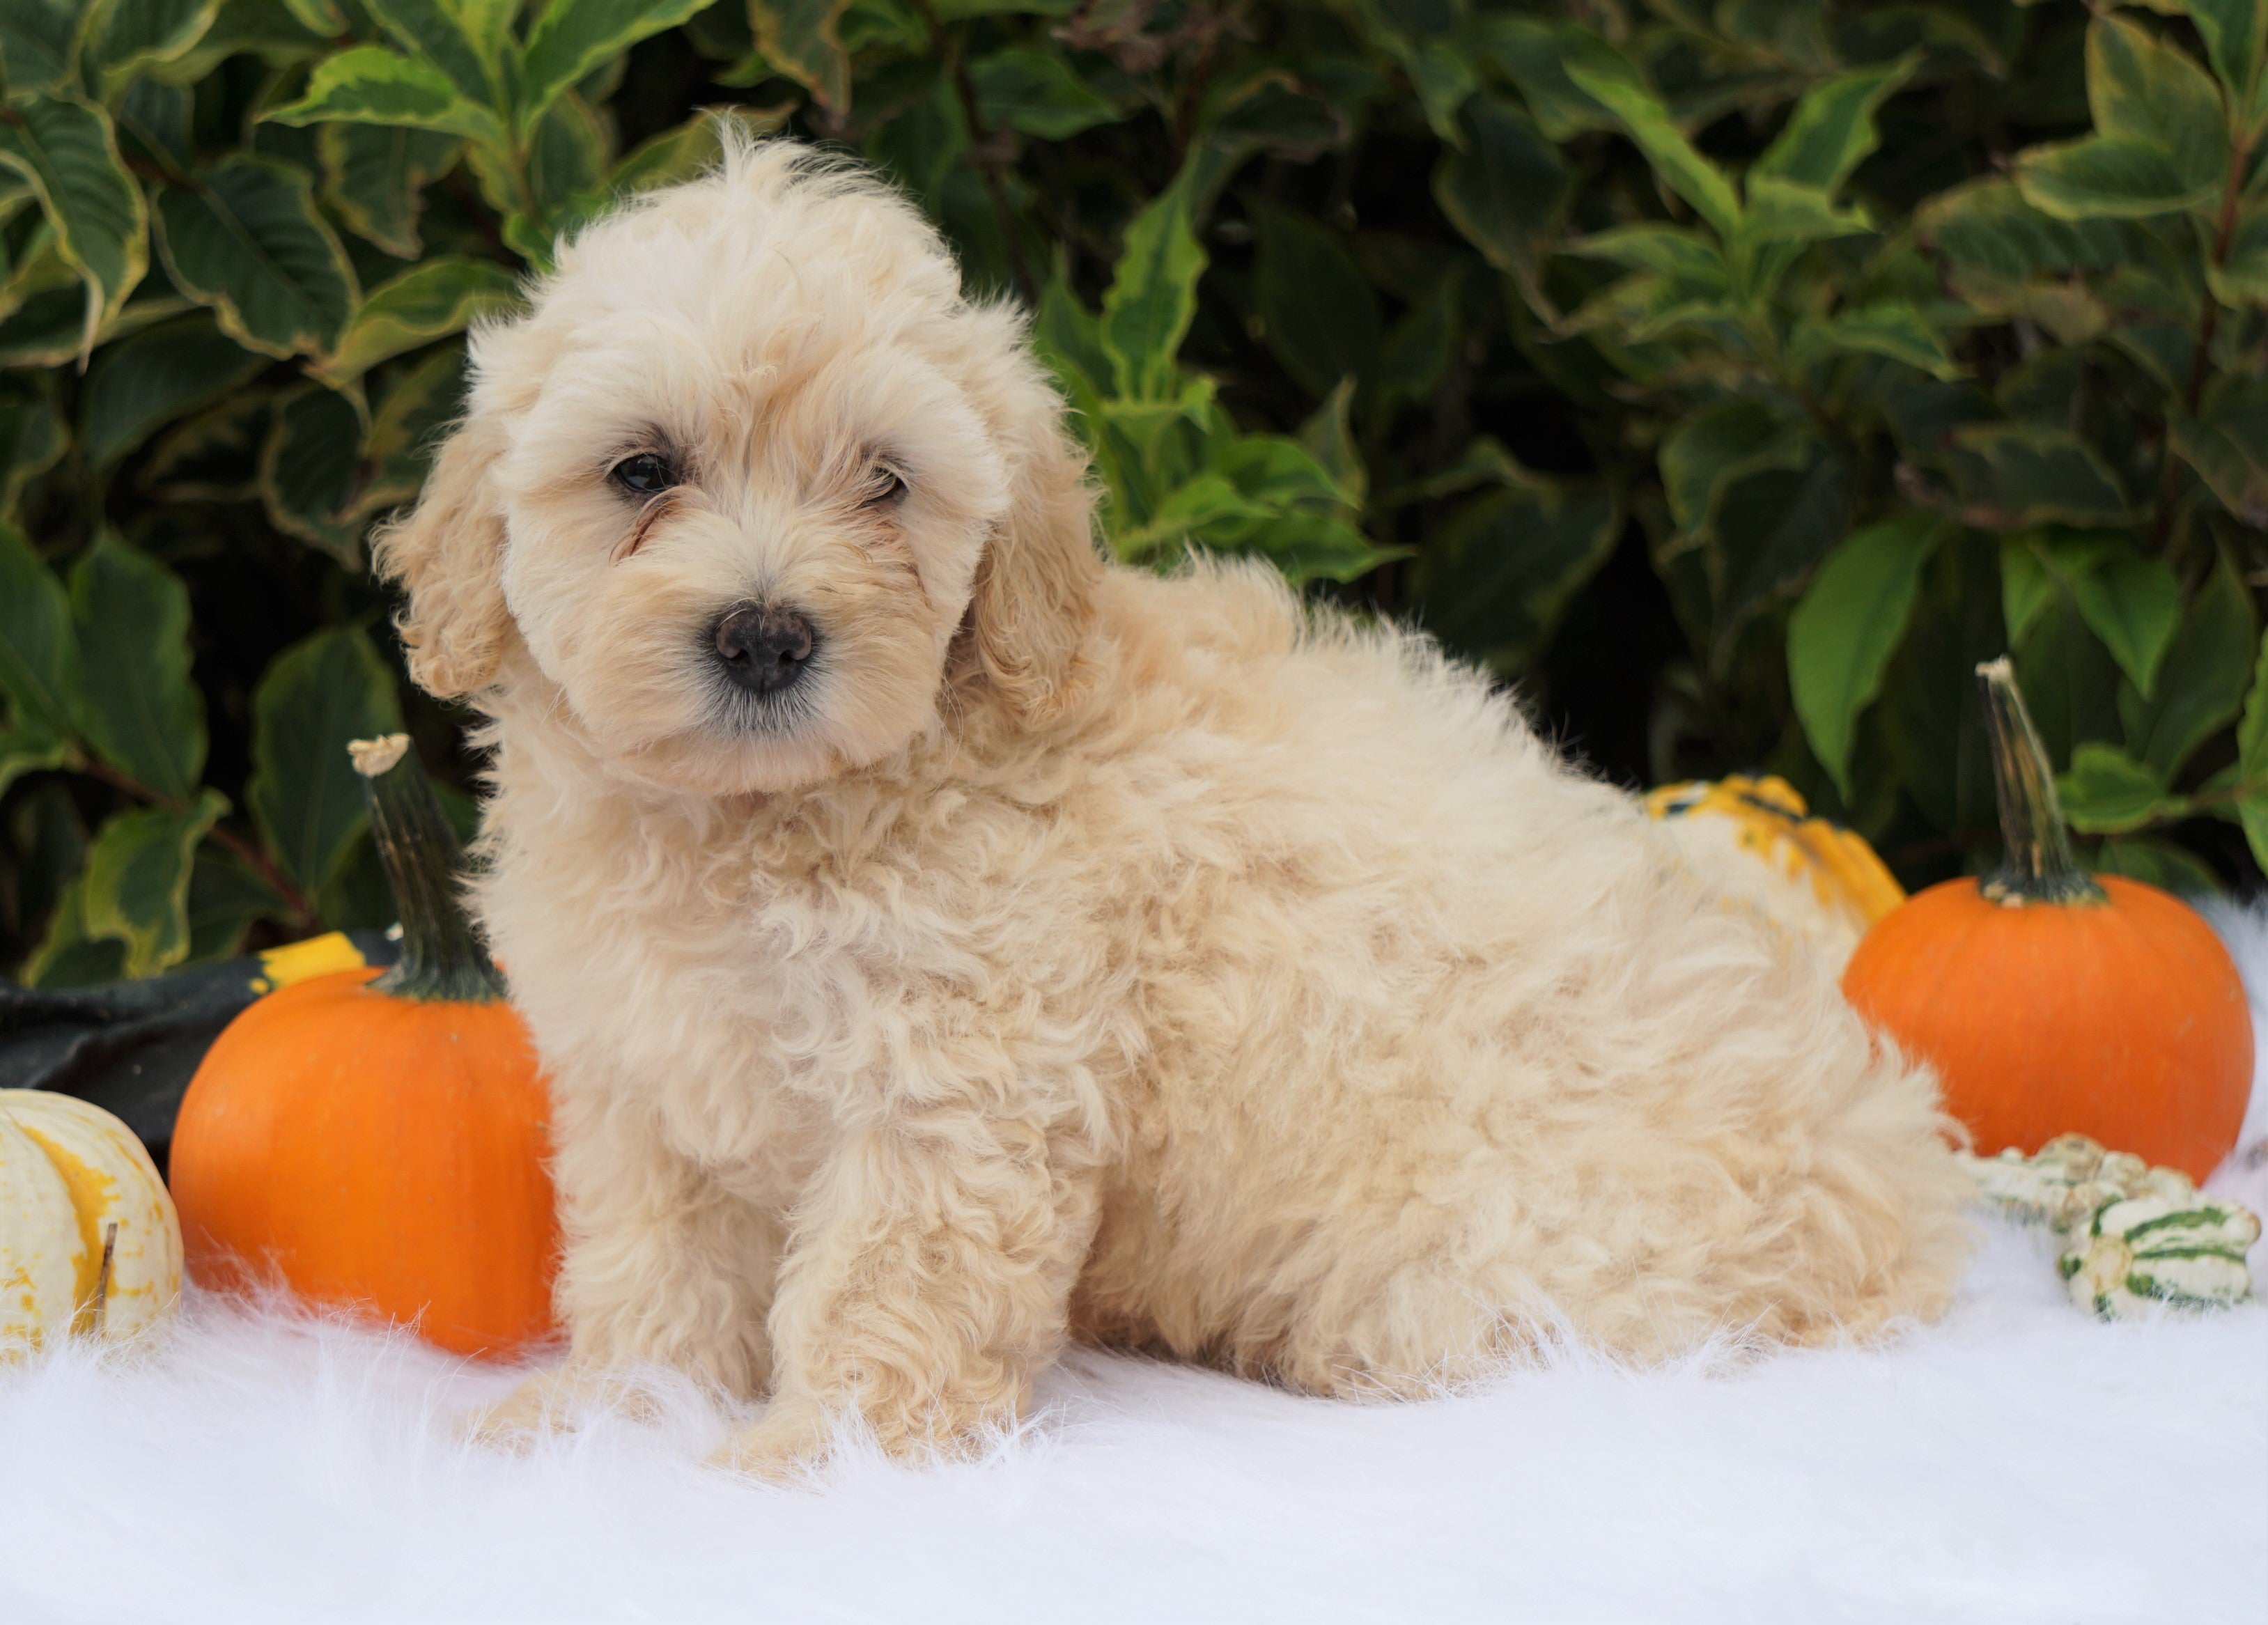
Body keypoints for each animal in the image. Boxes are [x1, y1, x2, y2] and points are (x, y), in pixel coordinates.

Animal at [385, 146, 1968, 1477]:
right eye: (641, 469)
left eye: (886, 483)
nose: (766, 634)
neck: (761, 815)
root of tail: (1883, 1187)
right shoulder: (643, 1080)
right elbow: (651, 1269)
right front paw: (603, 1414)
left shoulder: (956, 1083)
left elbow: (884, 1279)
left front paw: (813, 1457)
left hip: (1496, 1266)